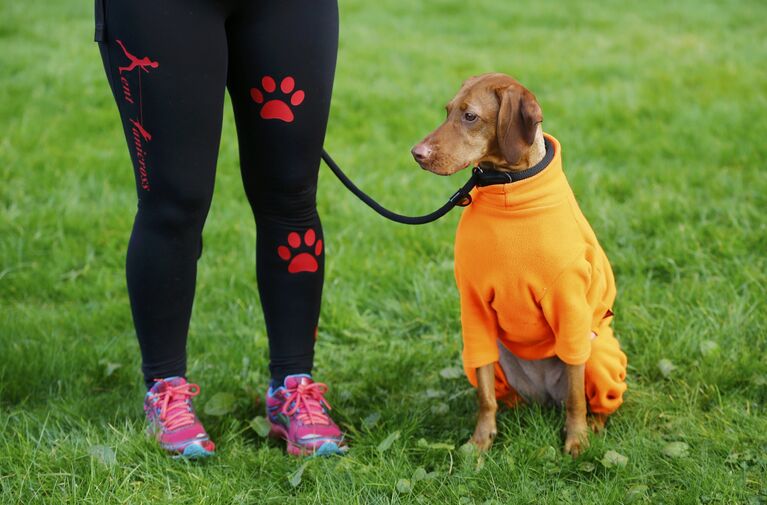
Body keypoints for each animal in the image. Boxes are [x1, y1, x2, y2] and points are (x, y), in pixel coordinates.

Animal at [412, 73, 628, 454]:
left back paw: (593, 426)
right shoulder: (474, 308)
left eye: (470, 116)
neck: (507, 188)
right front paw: (480, 442)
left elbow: (576, 396)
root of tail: (544, 398)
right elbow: (484, 397)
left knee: (588, 397)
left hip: (598, 352)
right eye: (448, 111)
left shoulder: (570, 306)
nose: (416, 153)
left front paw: (576, 440)